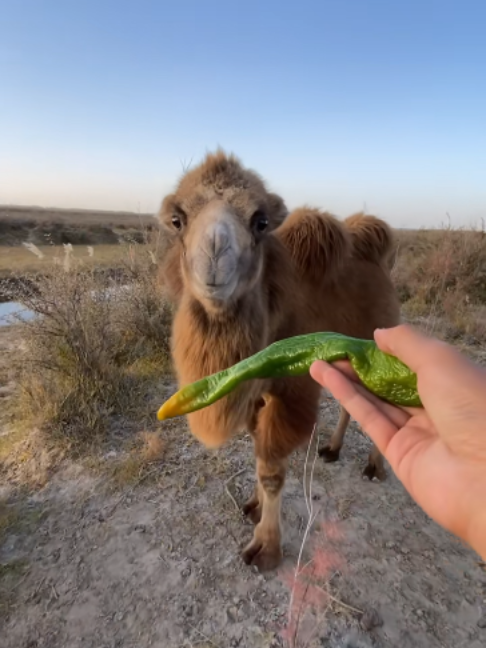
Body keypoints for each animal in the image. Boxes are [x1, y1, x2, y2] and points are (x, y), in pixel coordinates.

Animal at [157, 150, 400, 571]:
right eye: (177, 219)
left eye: (260, 221)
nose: (215, 250)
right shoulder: (255, 389)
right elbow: (258, 453)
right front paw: (253, 506)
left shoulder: (289, 390)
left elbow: (271, 467)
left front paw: (265, 547)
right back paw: (332, 450)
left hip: (379, 338)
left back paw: (374, 468)